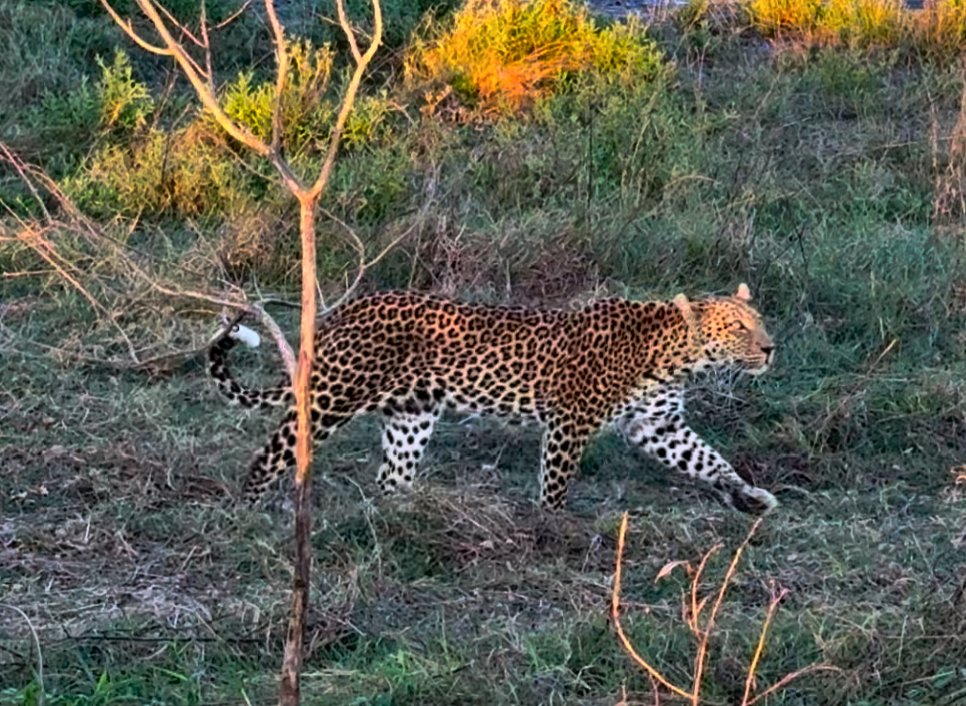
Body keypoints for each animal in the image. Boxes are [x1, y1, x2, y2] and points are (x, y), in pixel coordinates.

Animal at [207, 283, 778, 513]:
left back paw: (407, 513)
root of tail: (342, 312)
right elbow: (556, 481)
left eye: (759, 321)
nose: (771, 348)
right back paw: (249, 512)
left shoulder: (659, 426)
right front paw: (551, 526)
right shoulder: (571, 420)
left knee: (391, 477)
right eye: (738, 327)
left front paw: (749, 496)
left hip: (411, 414)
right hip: (331, 397)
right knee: (269, 454)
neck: (675, 354)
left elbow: (710, 460)